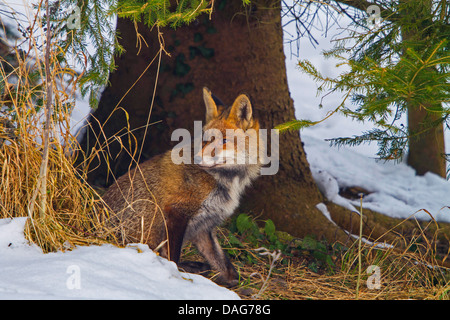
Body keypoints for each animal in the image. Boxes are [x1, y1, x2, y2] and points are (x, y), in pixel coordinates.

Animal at [103, 87, 260, 284]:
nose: (198, 159)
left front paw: (231, 281)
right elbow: (173, 257)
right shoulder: (177, 211)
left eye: (224, 141)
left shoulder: (204, 226)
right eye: (205, 140)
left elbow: (223, 263)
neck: (225, 181)